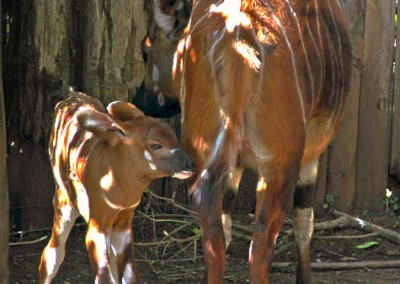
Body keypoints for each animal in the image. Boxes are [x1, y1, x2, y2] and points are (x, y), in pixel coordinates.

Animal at [38, 92, 195, 282]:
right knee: (52, 254)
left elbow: (129, 274)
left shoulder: (124, 223)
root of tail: (69, 98)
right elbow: (105, 275)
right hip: (64, 202)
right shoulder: (98, 223)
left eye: (175, 138)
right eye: (156, 144)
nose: (190, 165)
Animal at [138, 0, 354, 282]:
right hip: (280, 165)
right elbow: (303, 222)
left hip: (203, 155)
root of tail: (237, 45)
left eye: (144, 52)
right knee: (261, 241)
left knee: (214, 235)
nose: (140, 100)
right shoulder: (312, 148)